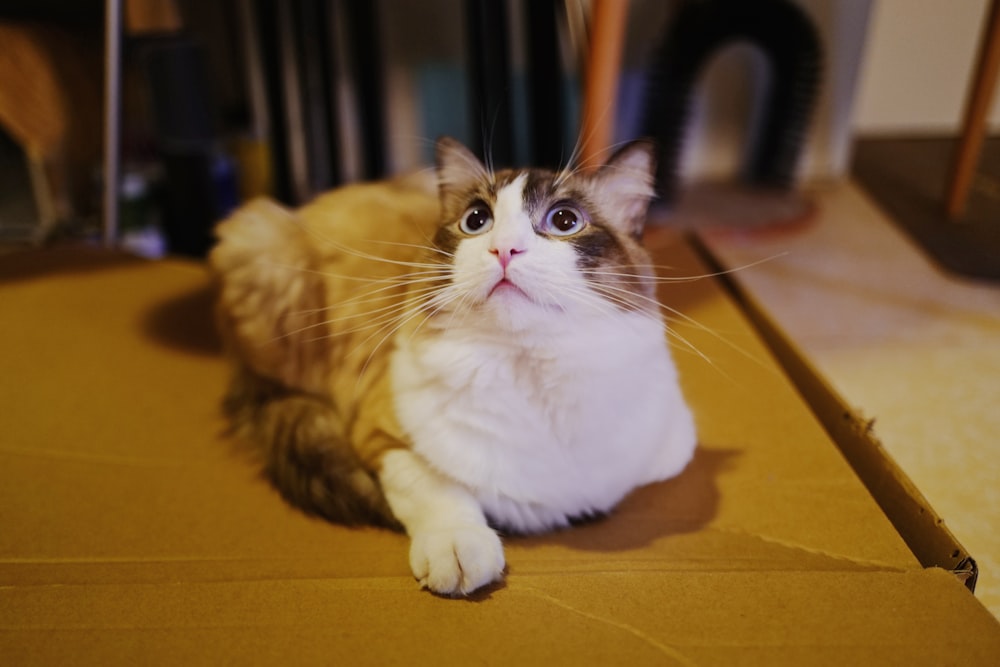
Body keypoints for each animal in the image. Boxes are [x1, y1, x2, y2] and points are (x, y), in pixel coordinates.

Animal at [211, 136, 696, 596]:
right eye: (476, 221)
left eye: (564, 221)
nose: (505, 249)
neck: (529, 370)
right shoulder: (384, 437)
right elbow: (436, 489)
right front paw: (459, 548)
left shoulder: (674, 445)